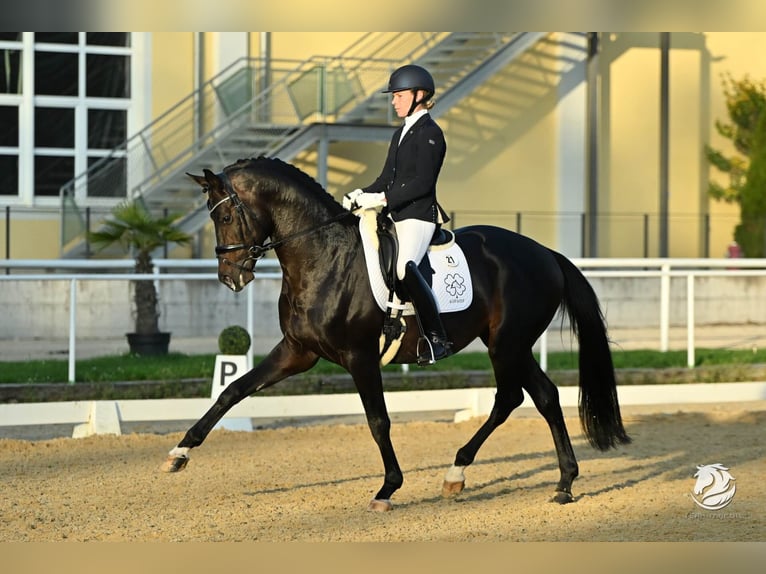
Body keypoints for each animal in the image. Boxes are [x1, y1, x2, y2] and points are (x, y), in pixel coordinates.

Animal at [160, 156, 632, 512]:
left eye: (225, 215)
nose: (230, 278)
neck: (323, 257)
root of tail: (546, 252)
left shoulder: (360, 357)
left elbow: (378, 421)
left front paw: (388, 488)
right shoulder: (298, 352)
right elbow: (232, 390)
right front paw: (179, 454)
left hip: (507, 343)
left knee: (517, 397)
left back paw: (512, 478)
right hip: (508, 344)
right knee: (537, 396)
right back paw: (540, 480)